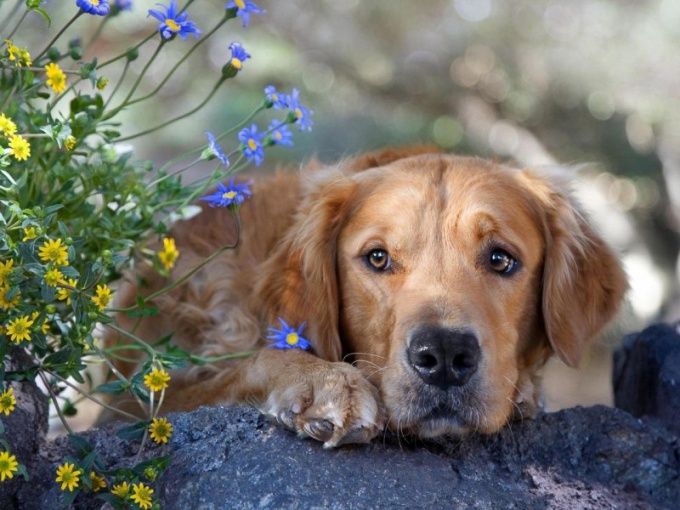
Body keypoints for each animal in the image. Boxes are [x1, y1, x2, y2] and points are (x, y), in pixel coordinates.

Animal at [103, 146, 628, 446]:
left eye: (501, 259)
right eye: (377, 258)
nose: (443, 355)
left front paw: (524, 392)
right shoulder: (138, 401)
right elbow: (250, 362)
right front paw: (323, 382)